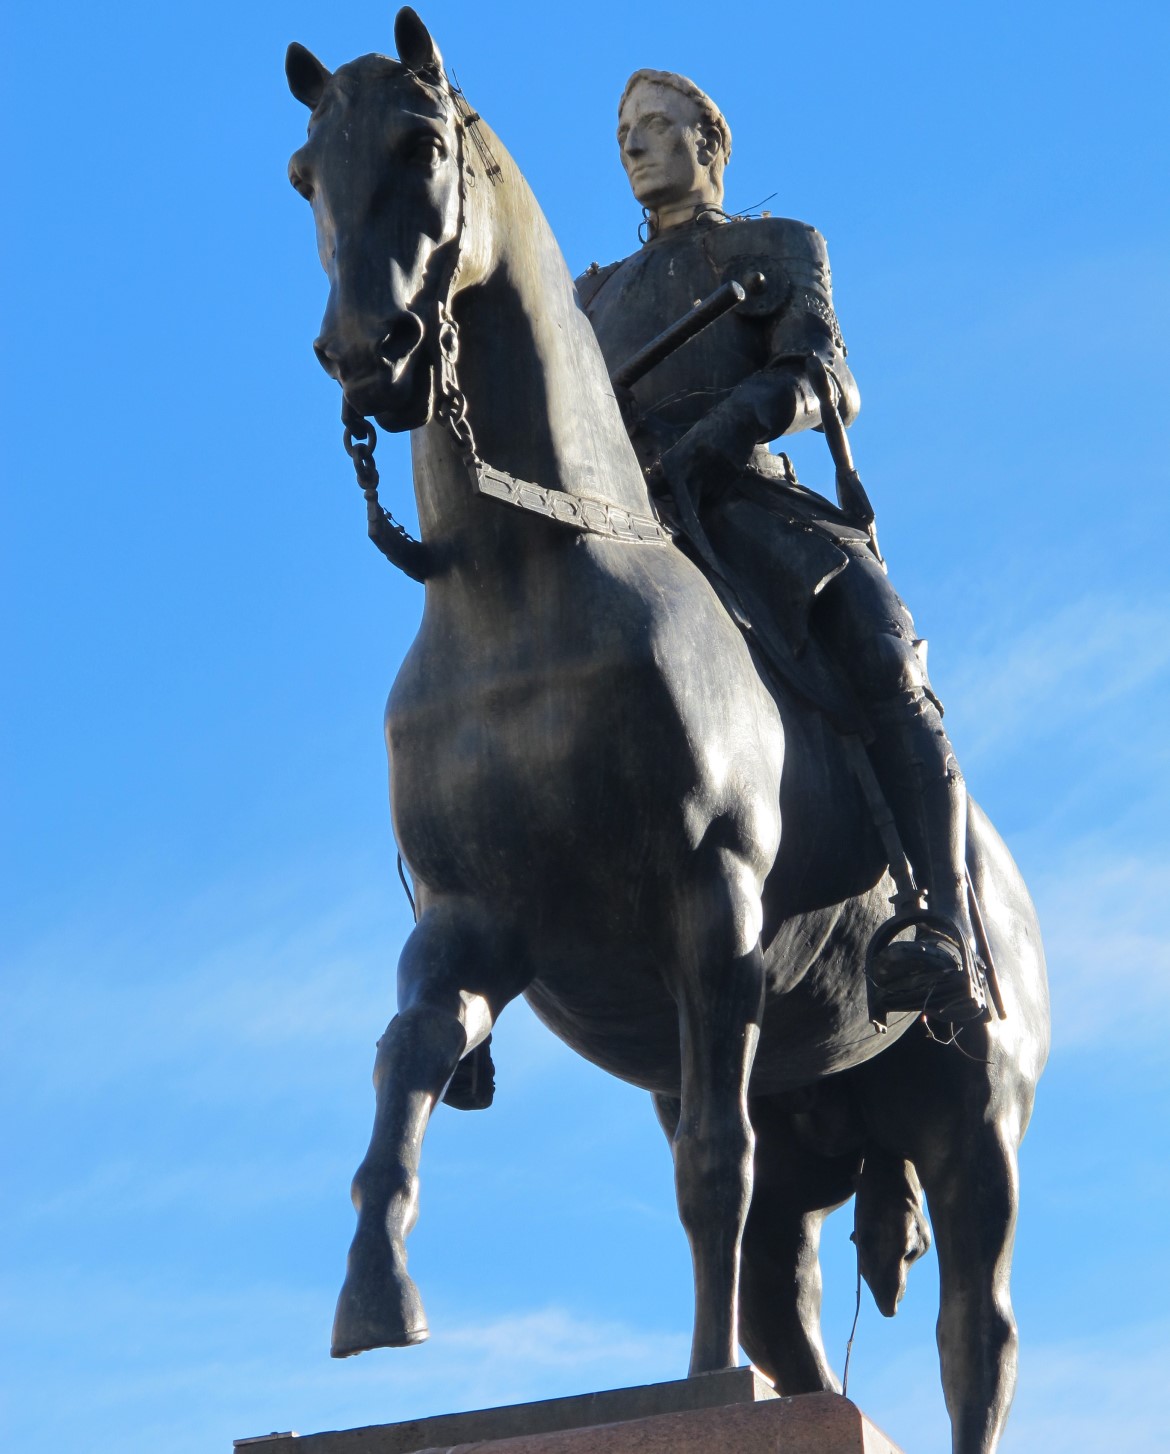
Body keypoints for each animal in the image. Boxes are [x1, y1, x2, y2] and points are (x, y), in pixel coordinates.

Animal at [284, 14, 1052, 1454]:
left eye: (420, 145)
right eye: (305, 172)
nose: (369, 349)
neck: (522, 588)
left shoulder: (715, 911)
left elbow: (711, 1166)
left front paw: (700, 1388)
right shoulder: (475, 920)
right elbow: (406, 1057)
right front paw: (374, 1297)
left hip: (973, 1115)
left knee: (975, 1331)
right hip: (819, 1125)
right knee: (788, 1312)